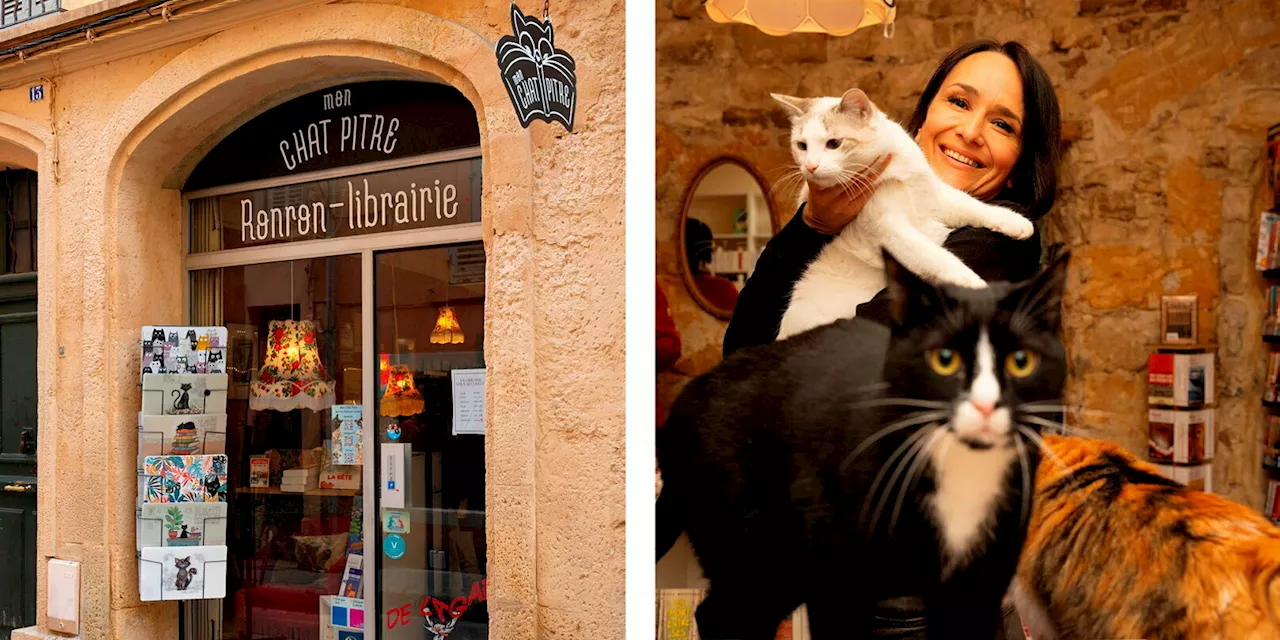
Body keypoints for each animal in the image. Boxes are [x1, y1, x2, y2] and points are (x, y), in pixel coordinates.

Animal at [660, 247, 1070, 637]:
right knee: (722, 614)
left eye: (1021, 361)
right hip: (758, 549)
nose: (986, 405)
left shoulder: (977, 588)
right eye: (944, 359)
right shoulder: (838, 582)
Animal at [762, 88, 1034, 345]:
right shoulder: (890, 230)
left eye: (834, 143)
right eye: (802, 146)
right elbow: (939, 259)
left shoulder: (934, 196)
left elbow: (972, 206)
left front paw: (1015, 222)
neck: (892, 173)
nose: (810, 166)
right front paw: (977, 288)